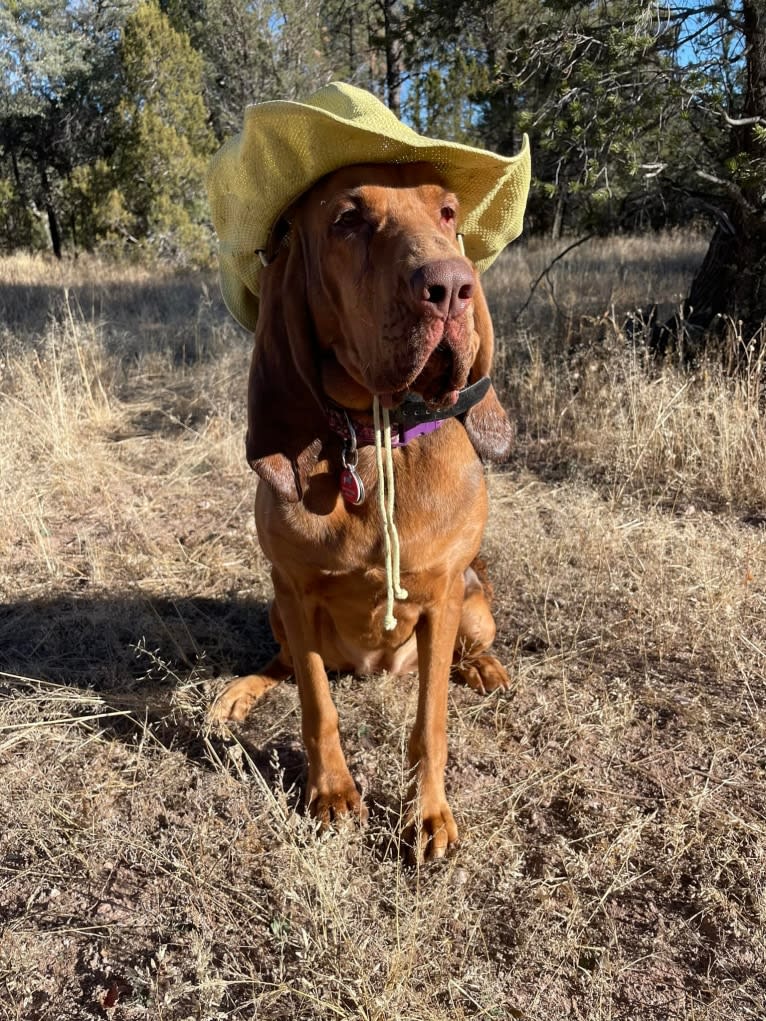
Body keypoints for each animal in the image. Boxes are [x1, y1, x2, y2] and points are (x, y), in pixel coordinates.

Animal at [211, 161, 516, 861]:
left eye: (449, 213)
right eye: (347, 221)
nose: (452, 288)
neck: (372, 439)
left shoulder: (442, 595)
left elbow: (431, 720)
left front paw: (426, 816)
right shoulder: (293, 592)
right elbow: (316, 705)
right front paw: (329, 794)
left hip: (473, 601)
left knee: (466, 651)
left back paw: (483, 667)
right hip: (277, 612)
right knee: (285, 665)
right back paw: (237, 694)